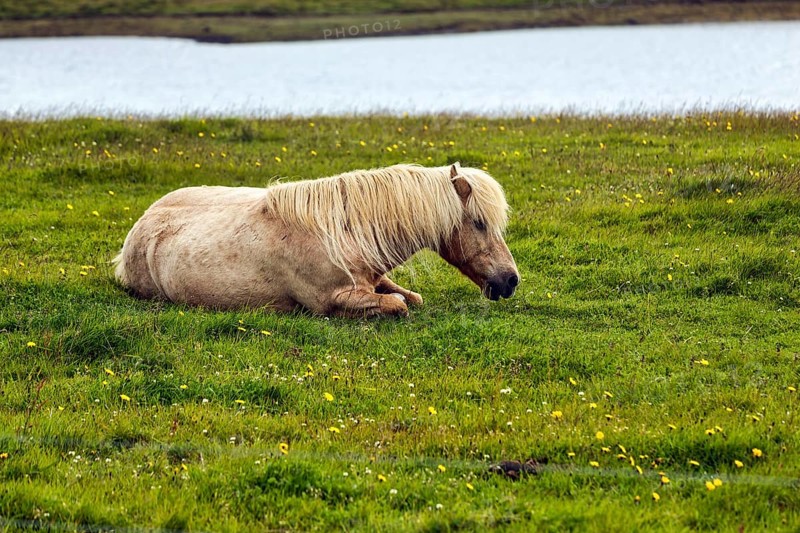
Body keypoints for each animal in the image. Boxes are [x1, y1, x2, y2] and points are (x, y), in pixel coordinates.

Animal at [113, 163, 519, 317]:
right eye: (480, 223)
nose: (511, 280)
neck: (344, 233)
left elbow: (411, 298)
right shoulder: (333, 301)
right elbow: (399, 306)